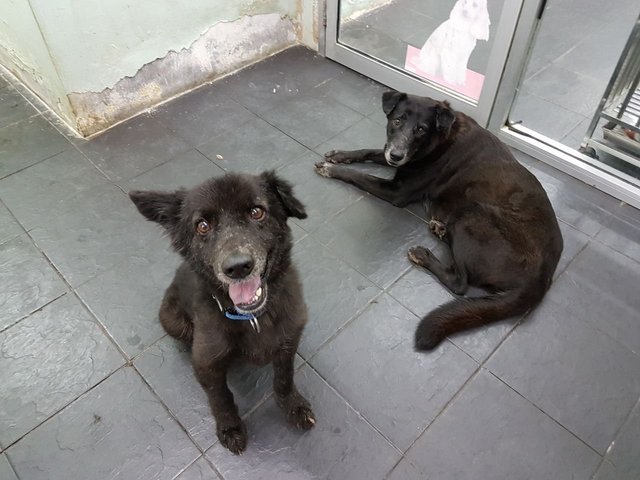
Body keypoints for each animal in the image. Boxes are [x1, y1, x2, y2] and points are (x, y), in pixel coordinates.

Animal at [129, 172, 316, 454]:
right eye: (203, 226)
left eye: (257, 212)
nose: (238, 267)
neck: (253, 318)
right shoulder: (207, 364)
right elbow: (220, 397)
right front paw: (230, 428)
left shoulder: (288, 341)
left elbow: (284, 378)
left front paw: (293, 406)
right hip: (171, 320)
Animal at [316, 92, 560, 350]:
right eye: (397, 121)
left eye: (421, 129)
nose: (396, 156)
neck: (441, 139)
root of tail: (541, 280)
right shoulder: (394, 156)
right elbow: (371, 151)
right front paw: (340, 155)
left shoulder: (396, 191)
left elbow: (359, 175)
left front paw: (331, 169)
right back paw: (440, 229)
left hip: (473, 214)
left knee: (460, 283)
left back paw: (424, 255)